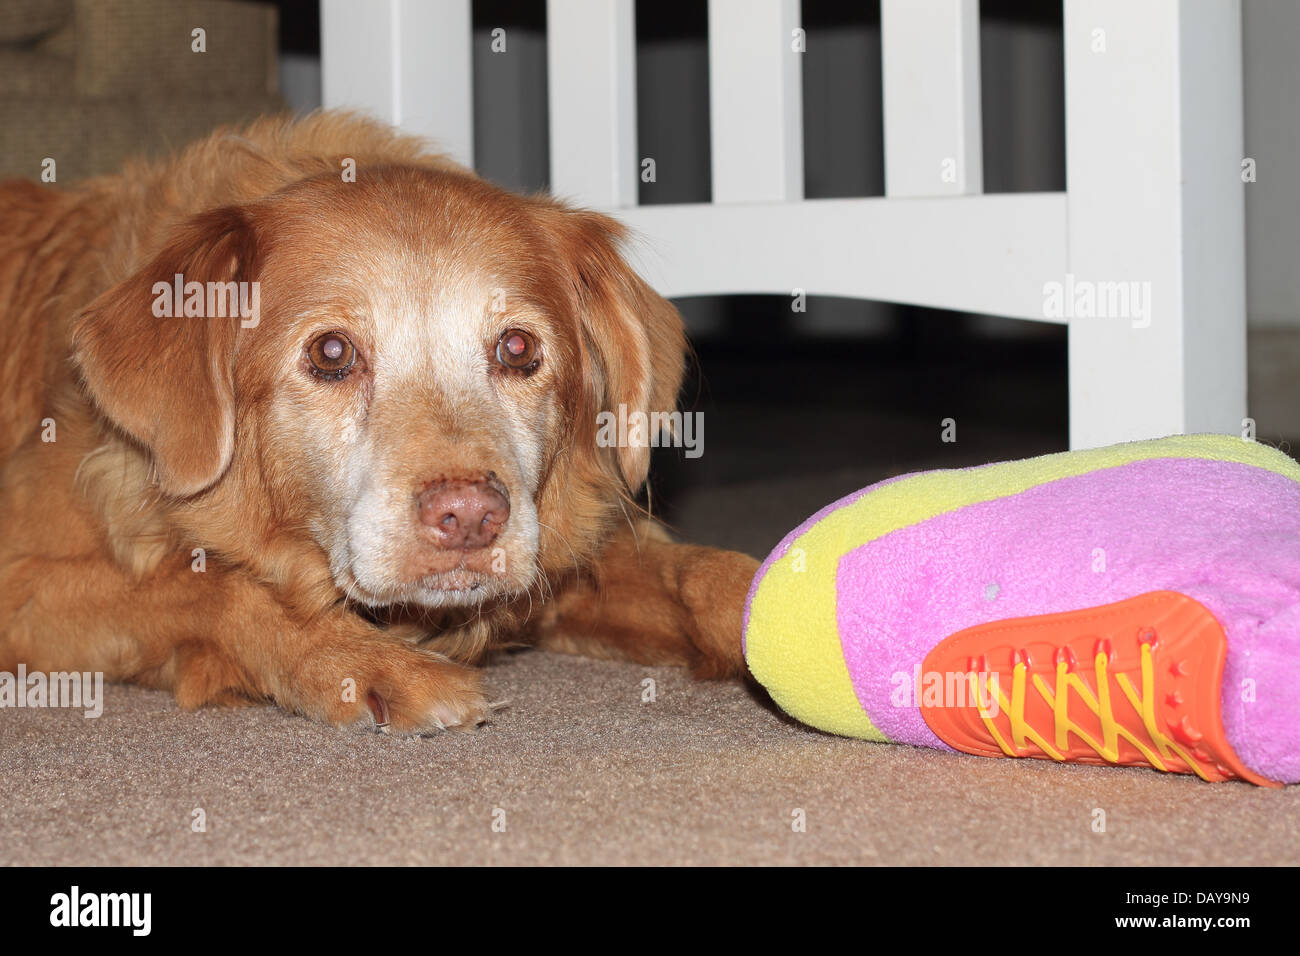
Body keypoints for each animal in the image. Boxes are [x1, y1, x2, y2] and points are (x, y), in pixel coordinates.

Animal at [0, 110, 759, 733]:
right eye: (331, 353)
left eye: (518, 348)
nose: (470, 517)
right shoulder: (24, 581)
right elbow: (215, 587)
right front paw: (372, 665)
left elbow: (706, 572)